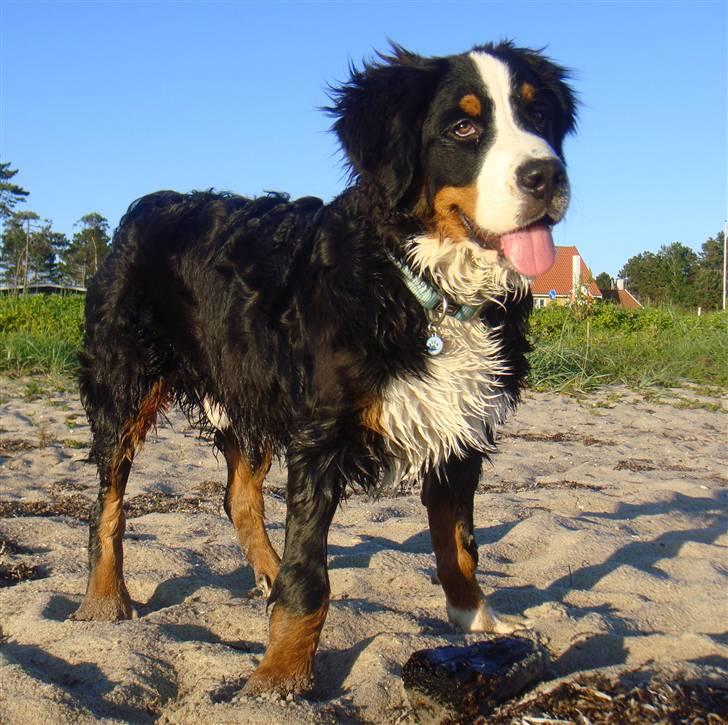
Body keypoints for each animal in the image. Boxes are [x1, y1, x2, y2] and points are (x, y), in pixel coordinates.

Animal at [72, 41, 576, 696]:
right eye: (462, 127)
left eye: (538, 117)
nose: (547, 175)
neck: (427, 288)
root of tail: (150, 204)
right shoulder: (321, 436)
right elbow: (310, 573)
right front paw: (279, 677)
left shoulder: (461, 427)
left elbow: (458, 545)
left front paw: (476, 621)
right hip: (126, 386)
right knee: (108, 505)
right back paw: (105, 599)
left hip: (247, 393)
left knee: (239, 500)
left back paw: (266, 575)